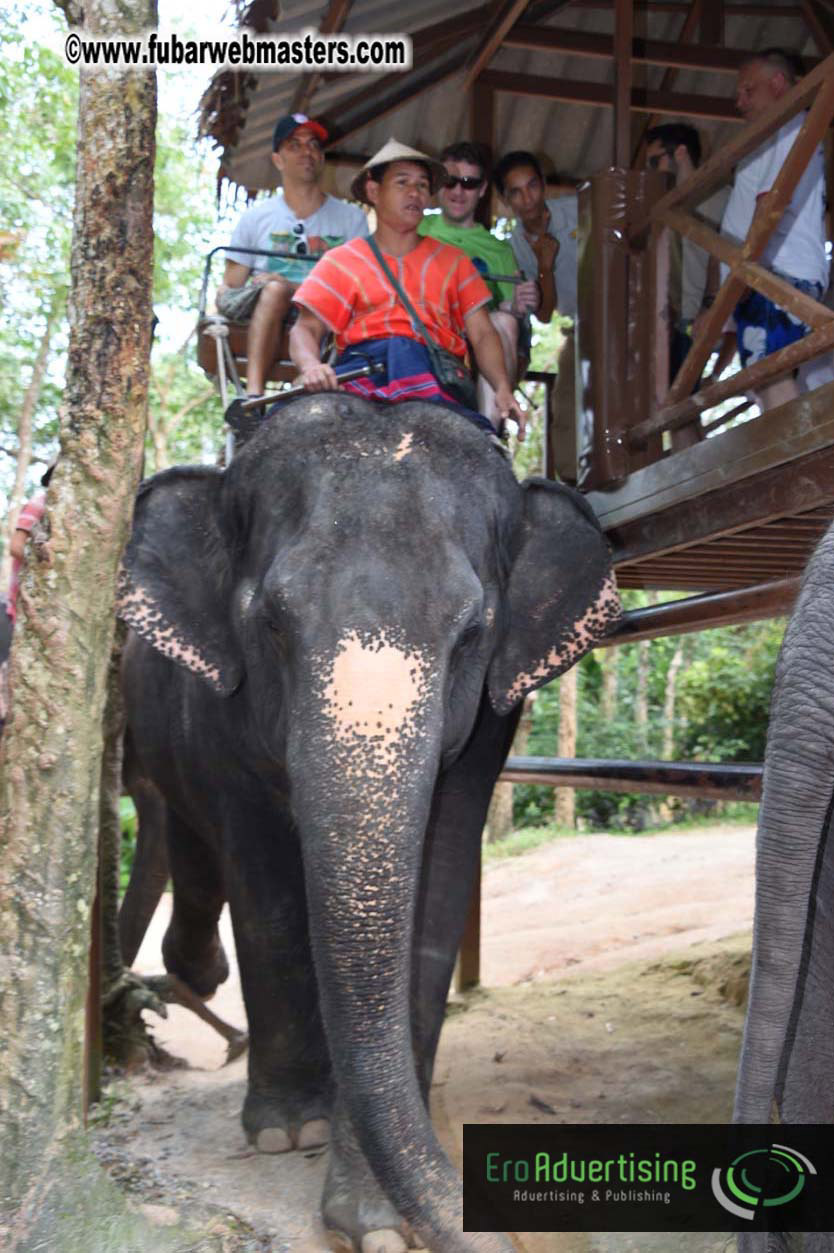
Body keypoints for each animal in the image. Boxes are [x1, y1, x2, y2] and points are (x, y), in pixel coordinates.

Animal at [117, 394, 621, 1253]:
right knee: (185, 832)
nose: (494, 1232)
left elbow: (435, 894)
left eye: (471, 634)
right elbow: (268, 894)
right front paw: (287, 1132)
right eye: (271, 623)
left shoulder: (485, 727)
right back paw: (199, 976)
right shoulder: (220, 719)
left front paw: (378, 1221)